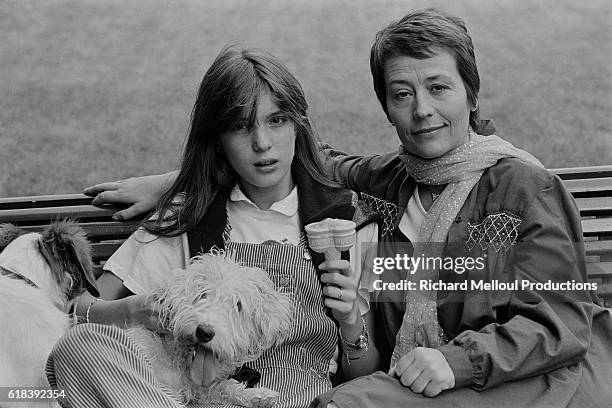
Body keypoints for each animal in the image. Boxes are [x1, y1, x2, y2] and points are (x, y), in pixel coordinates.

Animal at [125, 252, 292, 408]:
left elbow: (223, 387)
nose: (204, 332)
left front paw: (257, 396)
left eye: (238, 305)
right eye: (203, 294)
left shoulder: (199, 388)